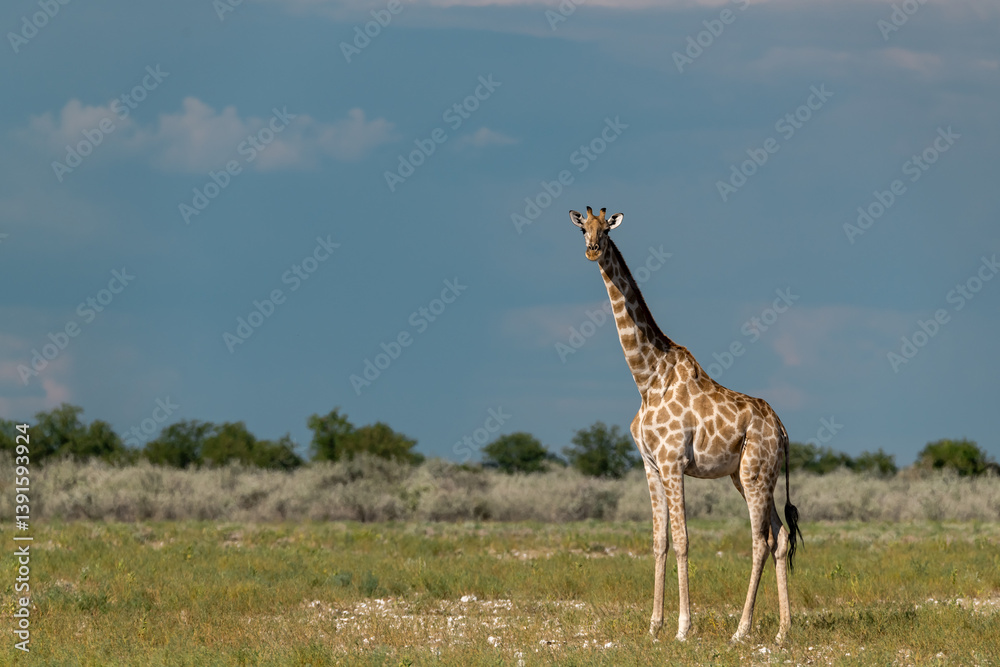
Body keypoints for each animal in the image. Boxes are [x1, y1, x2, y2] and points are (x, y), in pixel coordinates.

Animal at [568, 206, 802, 643]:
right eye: (582, 228)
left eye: (606, 230)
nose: (592, 250)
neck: (647, 379)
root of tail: (781, 430)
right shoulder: (650, 464)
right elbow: (658, 540)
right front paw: (653, 626)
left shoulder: (673, 461)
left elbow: (682, 540)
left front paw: (682, 628)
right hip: (748, 475)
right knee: (780, 537)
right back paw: (783, 631)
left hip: (755, 473)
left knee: (760, 540)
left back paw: (741, 631)